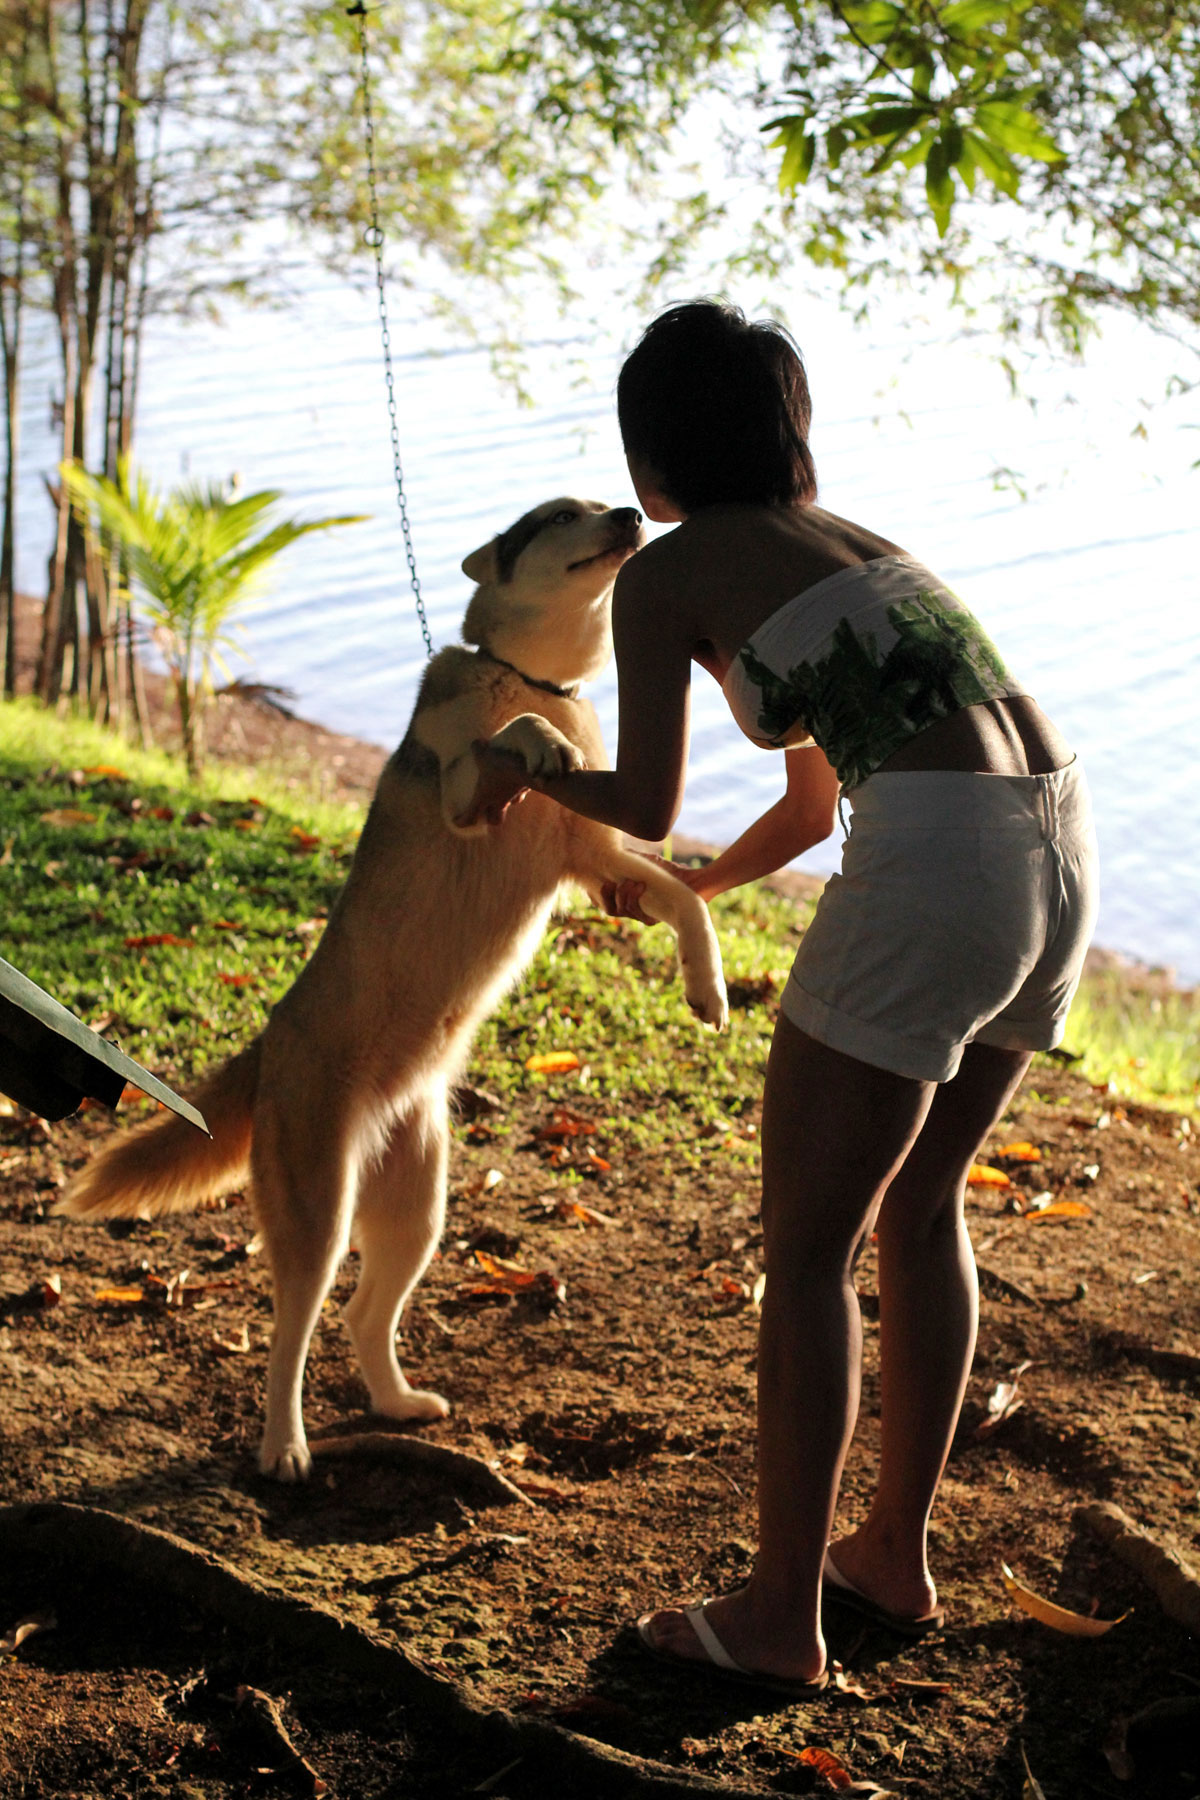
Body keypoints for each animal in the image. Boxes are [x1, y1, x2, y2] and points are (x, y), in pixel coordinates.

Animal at [56, 500, 726, 1483]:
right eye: (559, 514)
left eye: (598, 501)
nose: (631, 512)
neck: (533, 675)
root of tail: (271, 1041)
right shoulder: (467, 797)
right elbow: (512, 739)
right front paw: (541, 738)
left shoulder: (601, 867)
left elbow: (684, 898)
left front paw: (709, 989)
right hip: (318, 1213)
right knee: (290, 1335)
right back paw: (284, 1447)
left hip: (417, 1211)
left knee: (362, 1316)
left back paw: (395, 1403)